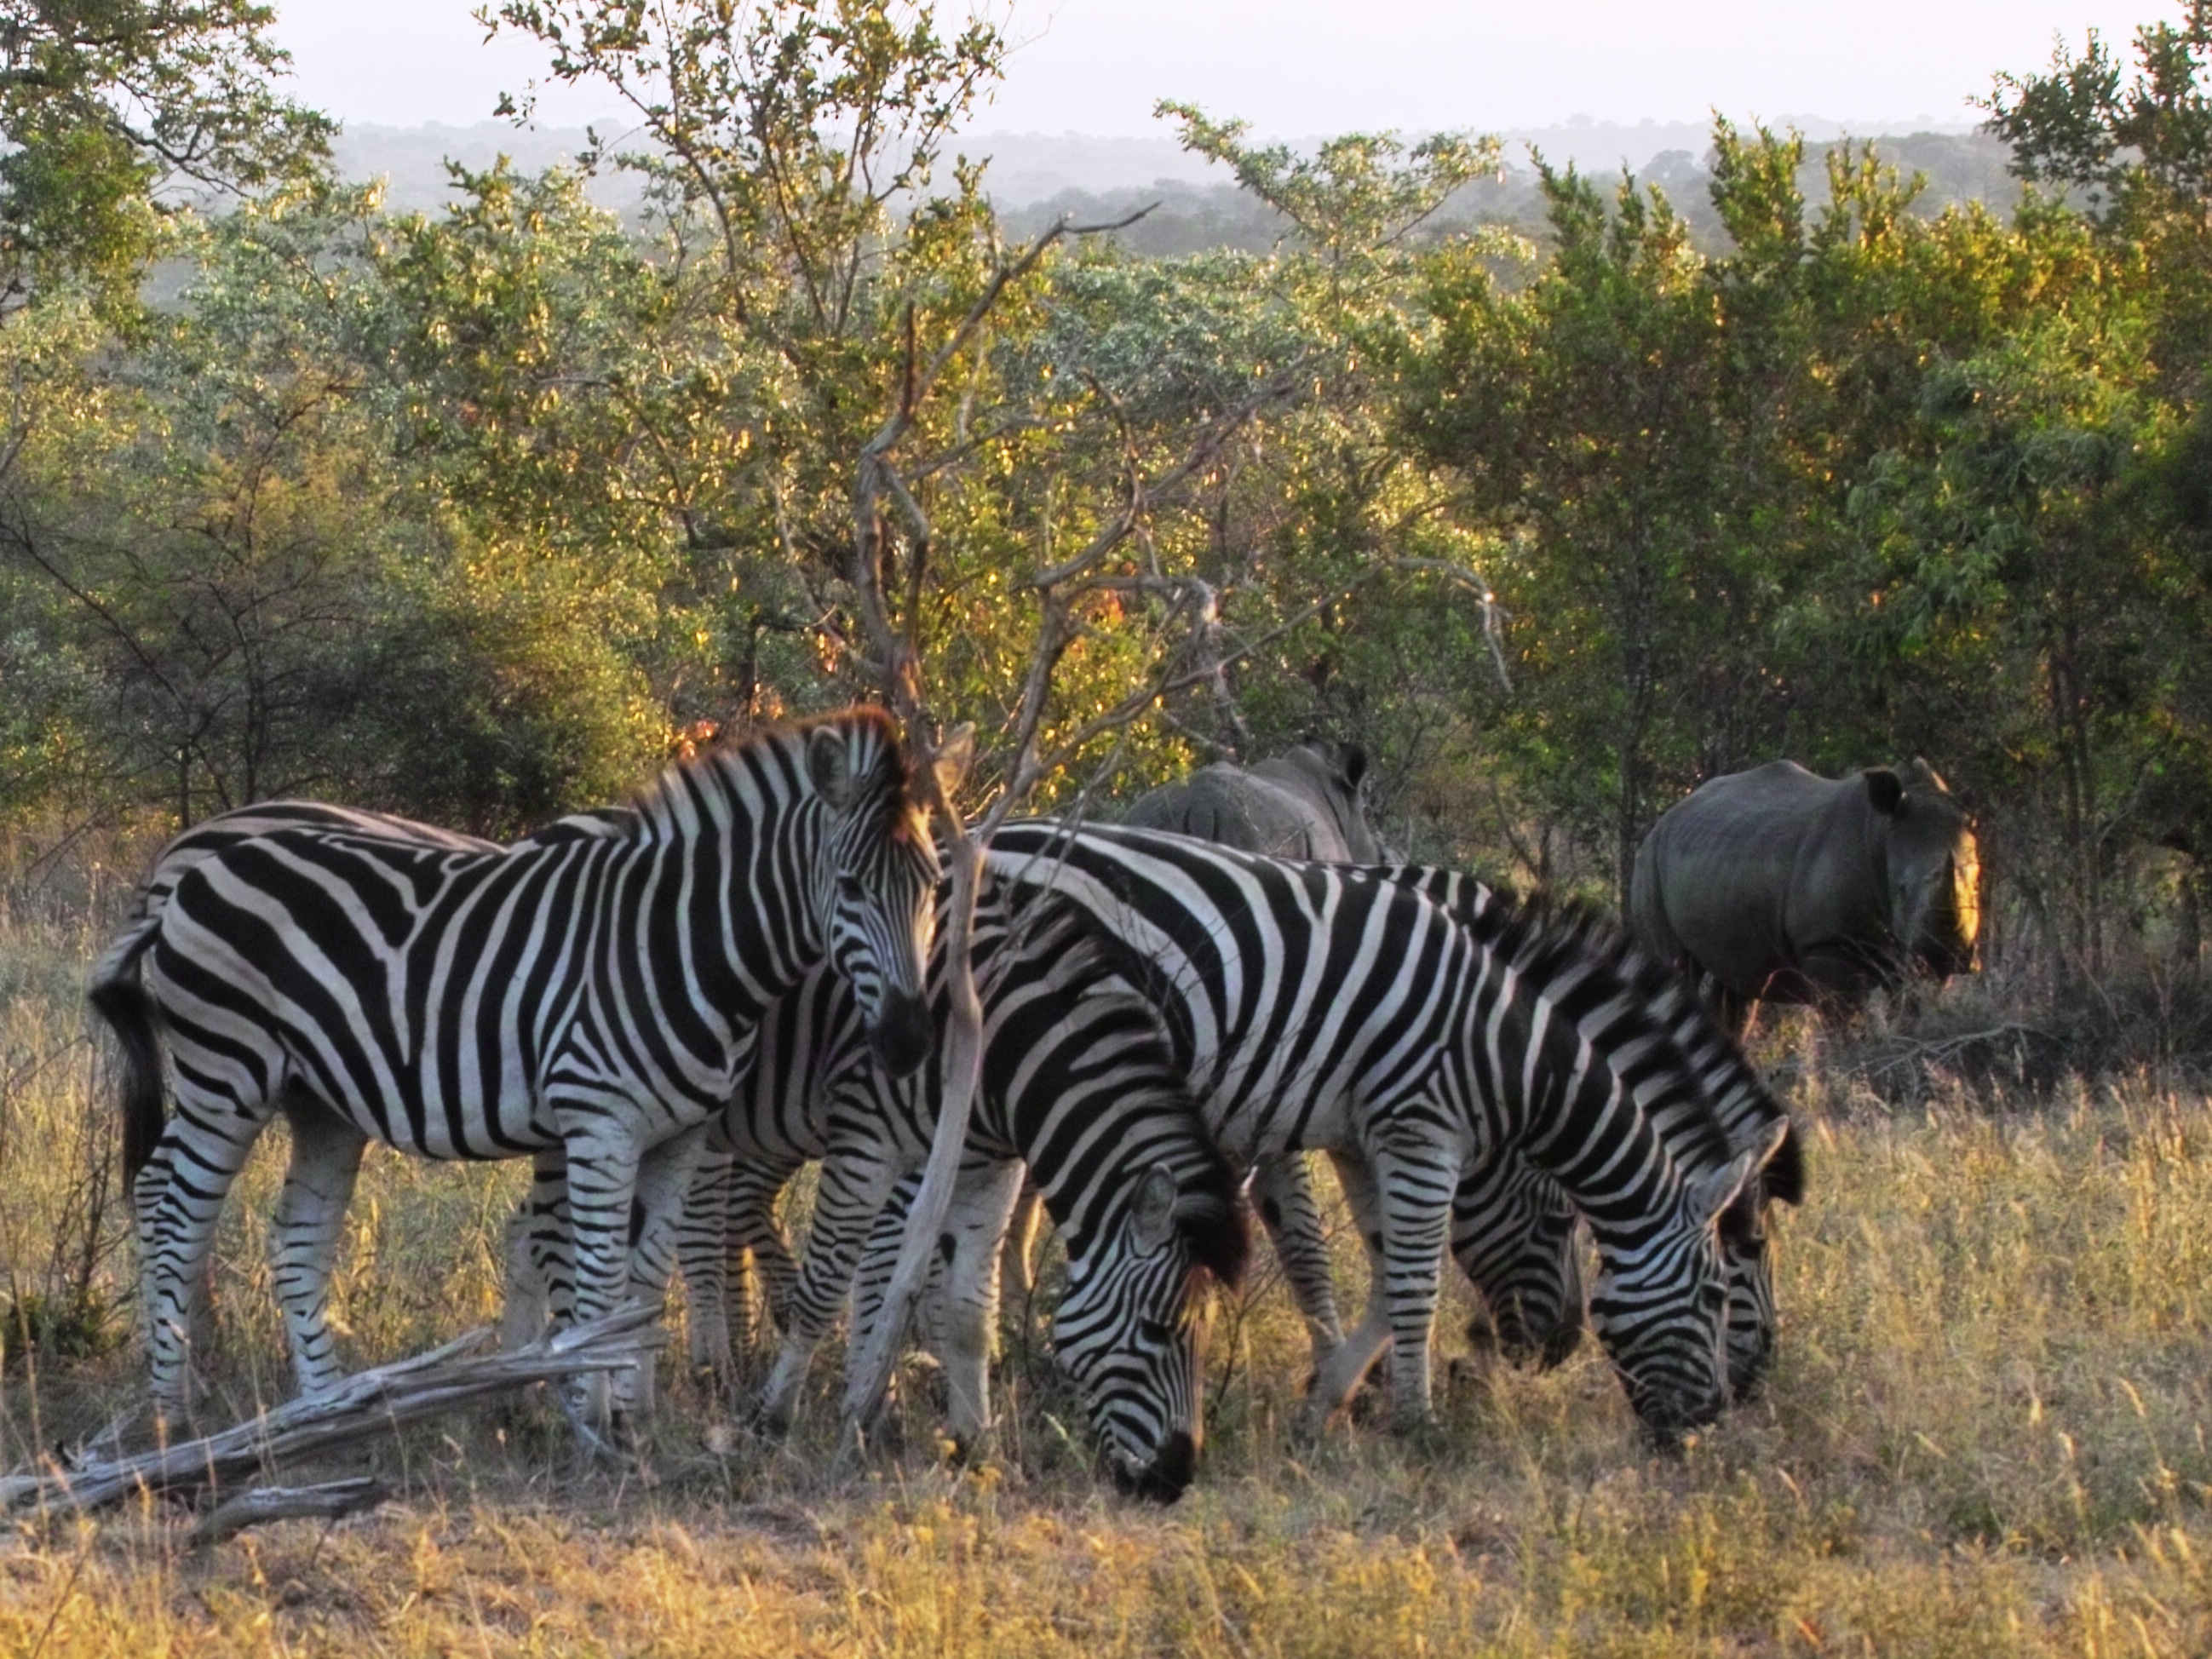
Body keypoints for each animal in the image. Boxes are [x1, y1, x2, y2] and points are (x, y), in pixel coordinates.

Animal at [85, 710, 943, 1424]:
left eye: (934, 885)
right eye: (851, 887)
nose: (909, 1043)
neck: (685, 944)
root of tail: (190, 871)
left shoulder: (684, 1134)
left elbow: (643, 1279)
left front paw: (632, 1415)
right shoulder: (599, 1120)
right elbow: (597, 1279)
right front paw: (593, 1419)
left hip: (317, 1100)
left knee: (296, 1236)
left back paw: (324, 1408)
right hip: (226, 1072)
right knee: (170, 1203)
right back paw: (174, 1405)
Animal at [504, 887, 1250, 1500]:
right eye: (1157, 1332)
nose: (1173, 1480)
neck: (995, 1048)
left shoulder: (990, 1172)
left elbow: (965, 1313)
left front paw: (967, 1441)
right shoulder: (872, 1141)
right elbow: (836, 1287)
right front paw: (782, 1417)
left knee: (529, 1231)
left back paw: (530, 1386)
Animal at [973, 822, 1787, 1442]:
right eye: (1722, 1285)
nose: (1728, 1406)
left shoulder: (1346, 1126)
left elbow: (1379, 1264)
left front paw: (1347, 1392)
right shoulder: (1370, 1121)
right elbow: (1351, 1262)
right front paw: (1409, 1412)